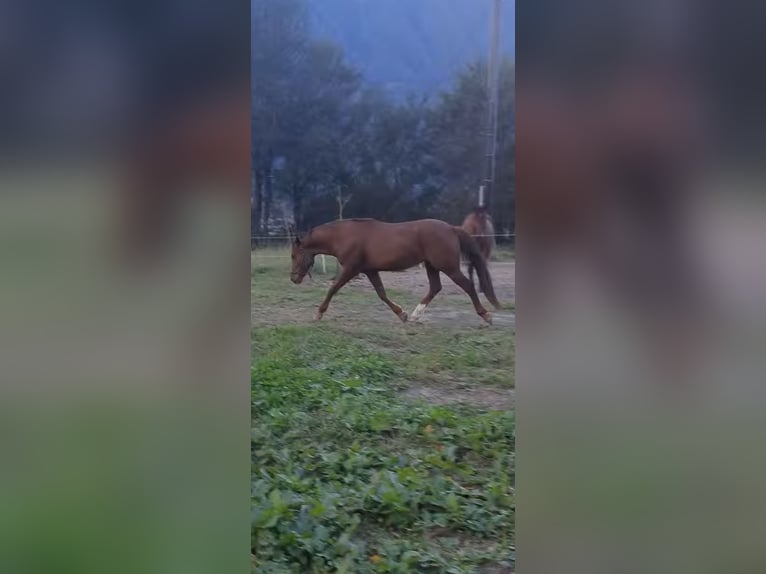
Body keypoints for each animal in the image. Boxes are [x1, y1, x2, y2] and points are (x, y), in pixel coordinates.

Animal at [290, 220, 504, 326]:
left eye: (293, 255)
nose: (293, 279)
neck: (344, 236)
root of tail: (451, 228)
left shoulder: (352, 268)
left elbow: (332, 289)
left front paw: (318, 314)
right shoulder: (370, 270)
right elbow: (382, 294)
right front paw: (402, 314)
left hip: (448, 267)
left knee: (468, 285)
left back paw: (486, 316)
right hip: (431, 266)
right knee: (435, 287)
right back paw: (416, 316)